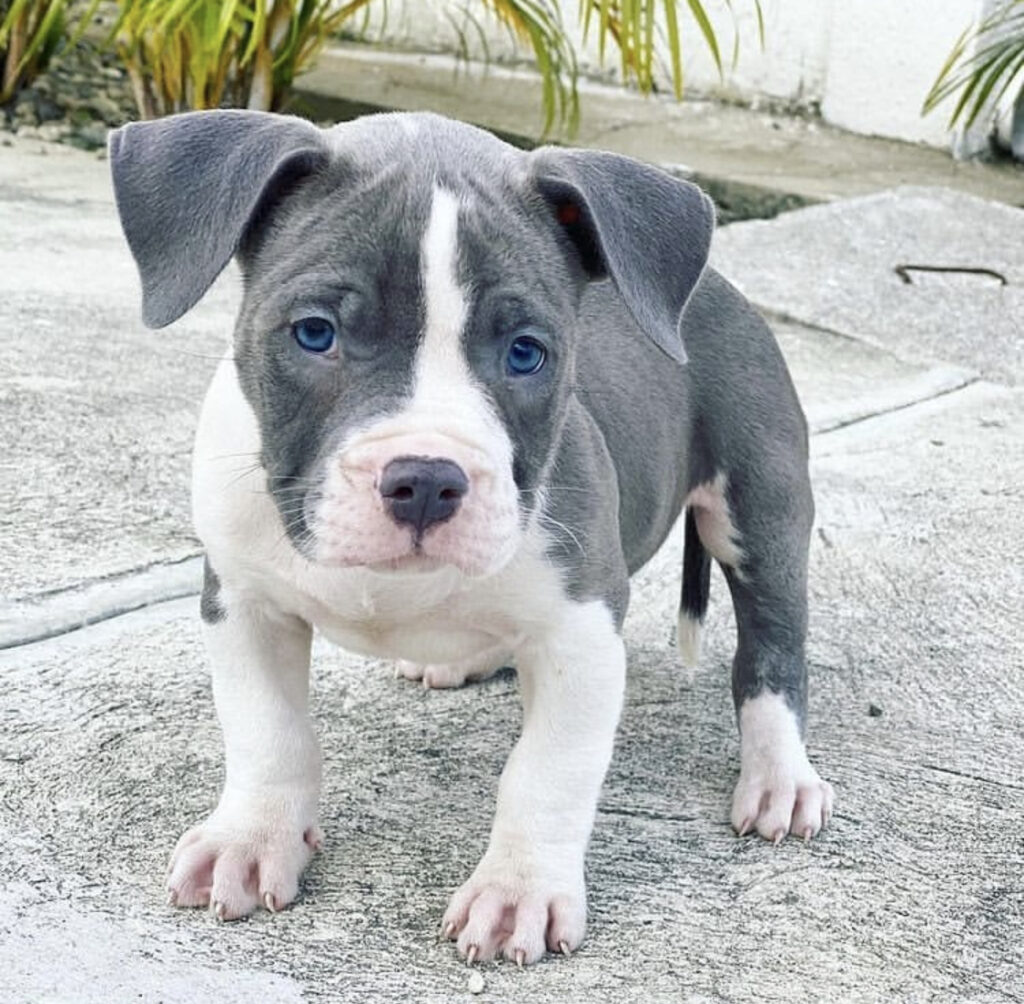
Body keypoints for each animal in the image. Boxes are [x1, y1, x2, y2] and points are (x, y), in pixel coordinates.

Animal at [109, 109, 833, 966]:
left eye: (526, 352)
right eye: (314, 333)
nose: (425, 478)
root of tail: (717, 284)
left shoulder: (581, 627)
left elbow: (547, 771)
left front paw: (518, 892)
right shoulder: (245, 601)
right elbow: (268, 730)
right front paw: (252, 841)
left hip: (761, 505)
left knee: (772, 650)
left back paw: (779, 775)